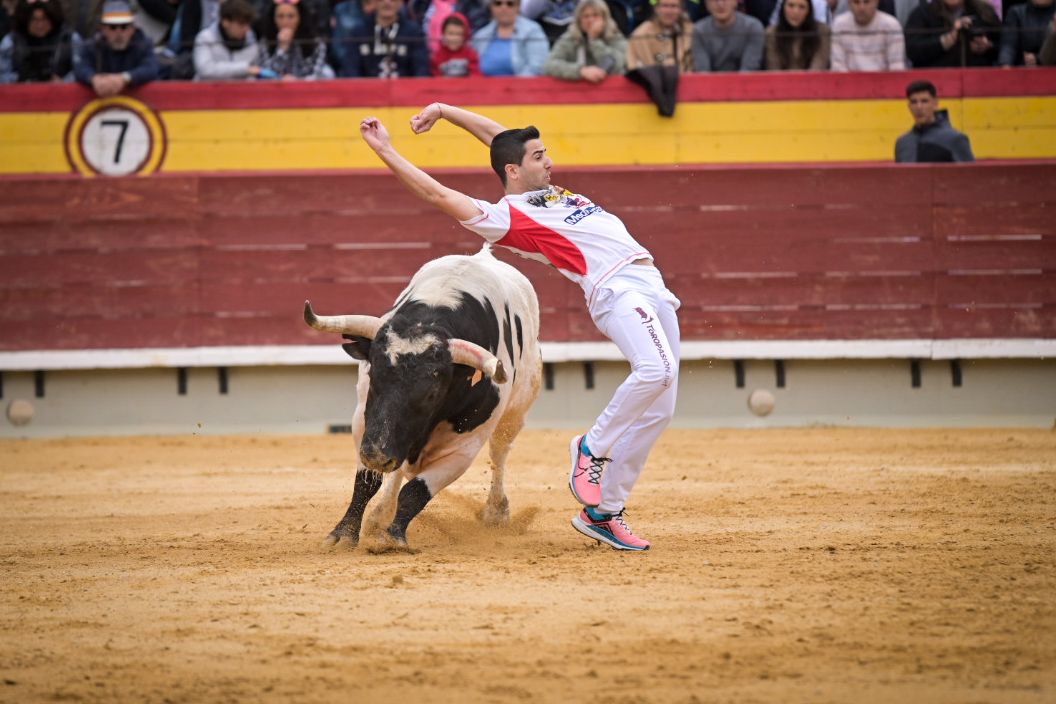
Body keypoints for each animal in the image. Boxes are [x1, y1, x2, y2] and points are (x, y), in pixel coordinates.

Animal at [302, 246, 540, 548]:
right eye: (374, 374)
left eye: (432, 393)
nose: (377, 454)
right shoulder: (363, 424)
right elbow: (367, 482)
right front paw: (344, 534)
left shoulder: (463, 448)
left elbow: (416, 491)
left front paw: (393, 537)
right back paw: (379, 514)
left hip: (515, 414)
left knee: (499, 454)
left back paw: (496, 513)